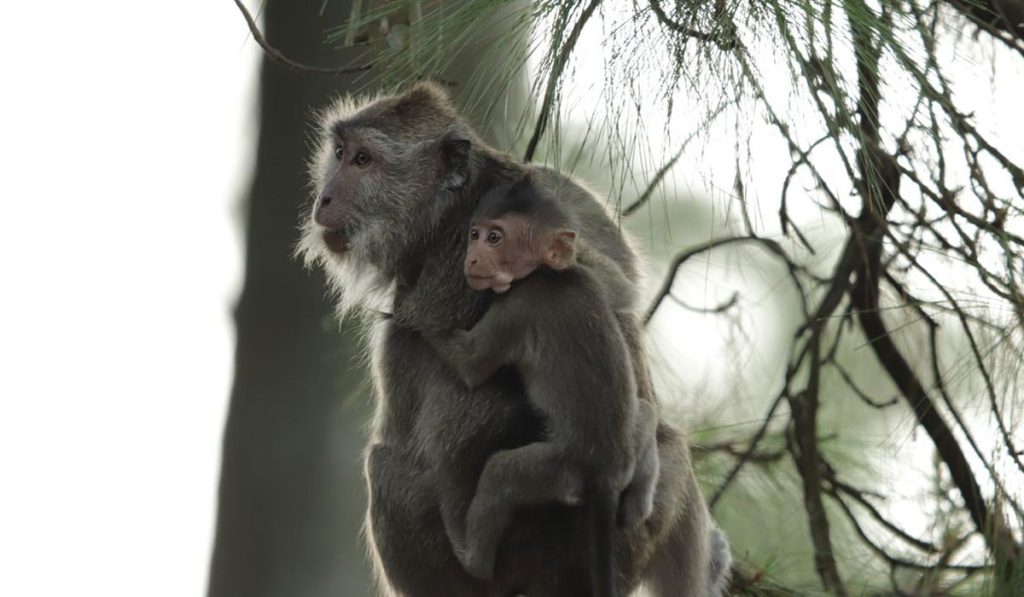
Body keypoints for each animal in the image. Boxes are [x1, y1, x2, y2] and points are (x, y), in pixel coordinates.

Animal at [422, 175, 660, 596]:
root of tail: (606, 475)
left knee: (502, 473)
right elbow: (623, 292)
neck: (546, 274)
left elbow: (470, 365)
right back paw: (639, 501)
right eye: (474, 234)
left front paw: (414, 319)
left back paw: (471, 555)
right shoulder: (588, 278)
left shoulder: (517, 307)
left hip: (559, 471)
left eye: (494, 238)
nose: (471, 258)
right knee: (645, 413)